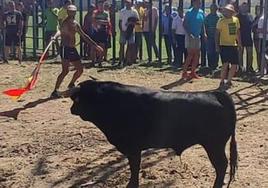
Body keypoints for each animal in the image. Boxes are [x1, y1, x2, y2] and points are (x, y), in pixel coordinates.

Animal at [68, 80, 238, 187]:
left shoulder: (133, 148)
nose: (72, 109)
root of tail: (214, 93)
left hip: (214, 145)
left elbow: (134, 168)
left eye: (78, 99)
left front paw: (132, 185)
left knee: (221, 165)